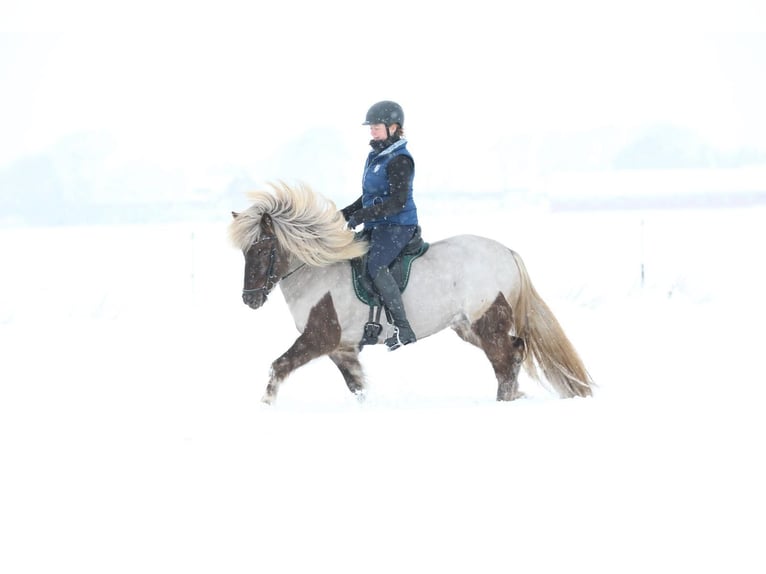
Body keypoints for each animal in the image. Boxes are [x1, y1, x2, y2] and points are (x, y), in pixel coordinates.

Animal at [229, 181, 594, 405]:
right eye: (245, 252)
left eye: (262, 249)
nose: (250, 299)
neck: (317, 271)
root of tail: (506, 252)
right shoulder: (342, 347)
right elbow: (357, 386)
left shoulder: (320, 336)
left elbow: (278, 366)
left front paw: (265, 405)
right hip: (467, 326)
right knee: (515, 350)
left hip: (486, 322)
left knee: (505, 360)